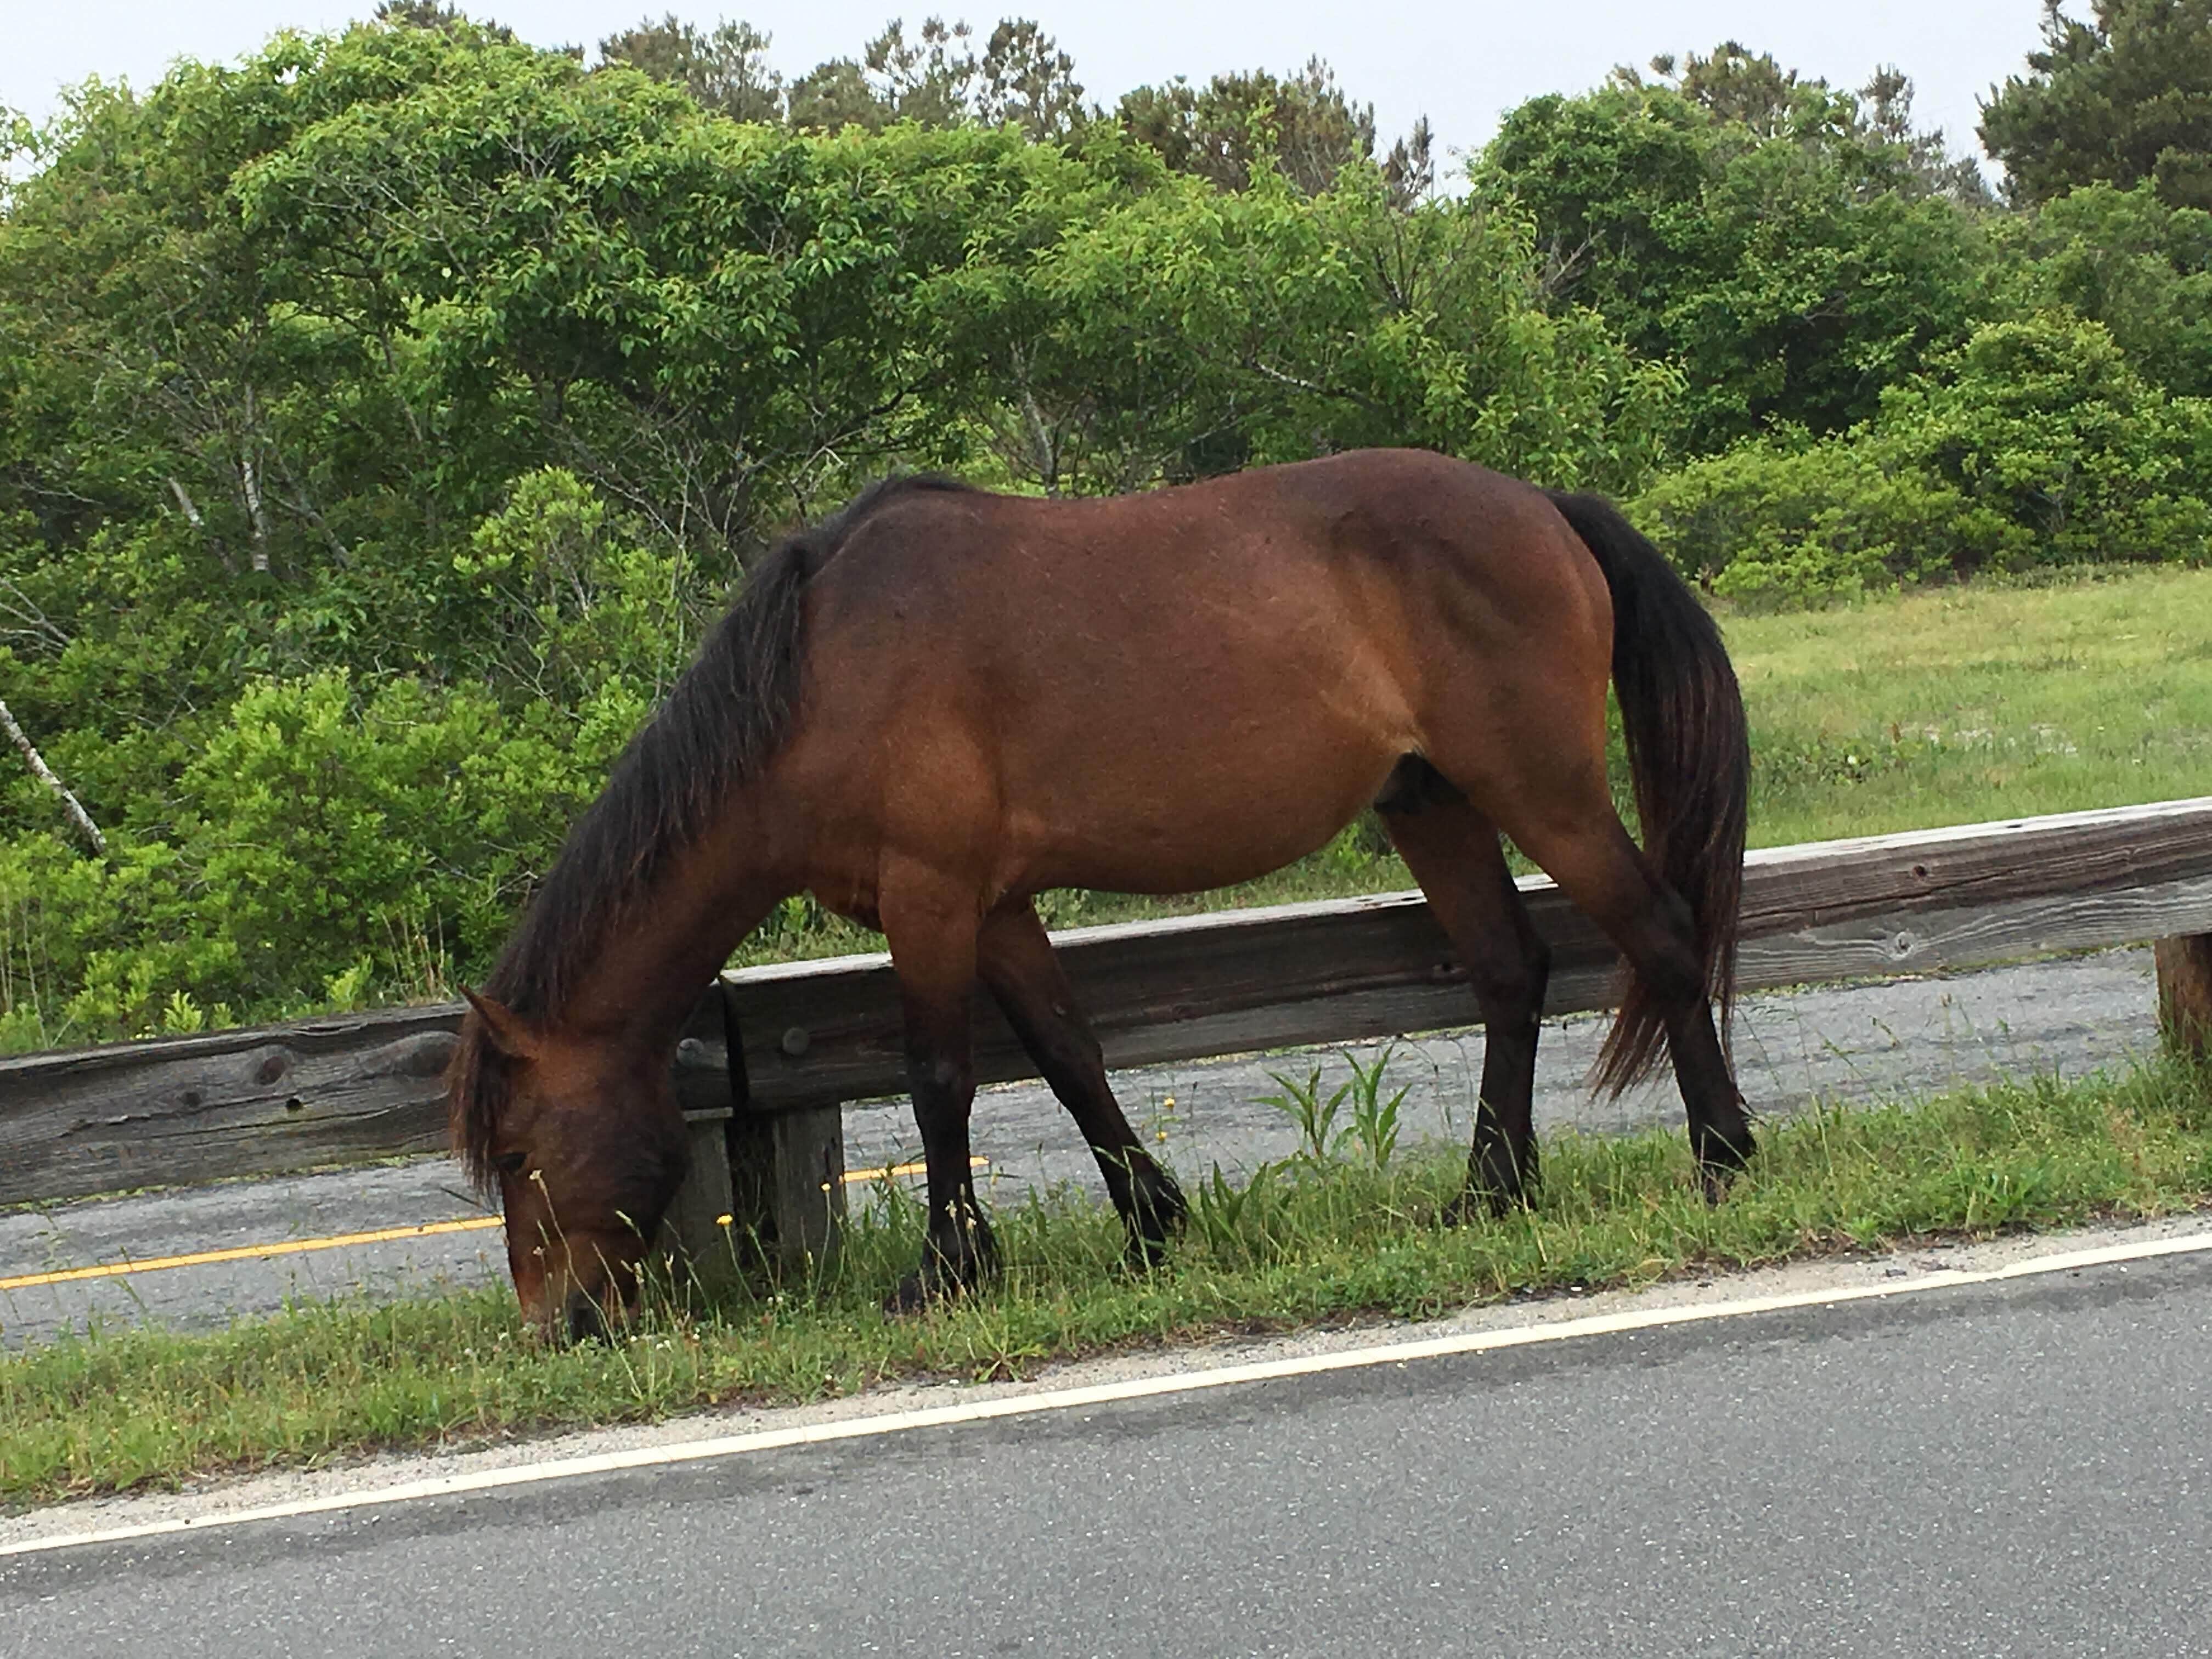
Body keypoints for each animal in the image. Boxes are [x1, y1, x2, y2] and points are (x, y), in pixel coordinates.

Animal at [448, 447, 1752, 1339]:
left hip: (1542, 789)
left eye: (515, 1152)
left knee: (1659, 934)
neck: (818, 674)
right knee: (1508, 971)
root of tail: (1545, 508)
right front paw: (1151, 1225)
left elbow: (940, 1080)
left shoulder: (930, 898)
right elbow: (1070, 1056)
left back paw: (1722, 1157)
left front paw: (946, 1272)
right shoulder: (994, 906)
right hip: (1431, 802)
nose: (555, 1327)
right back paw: (1490, 1192)